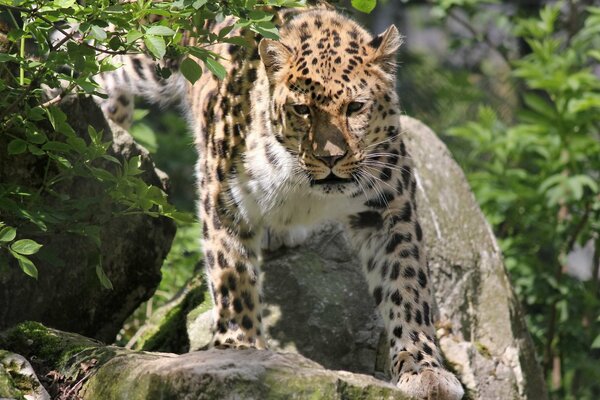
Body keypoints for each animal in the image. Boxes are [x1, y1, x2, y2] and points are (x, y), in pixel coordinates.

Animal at [92, 6, 464, 400]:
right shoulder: (223, 195)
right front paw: (239, 349)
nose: (330, 158)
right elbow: (232, 275)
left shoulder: (391, 206)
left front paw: (424, 369)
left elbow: (407, 286)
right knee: (104, 56)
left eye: (355, 107)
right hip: (151, 52)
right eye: (302, 109)